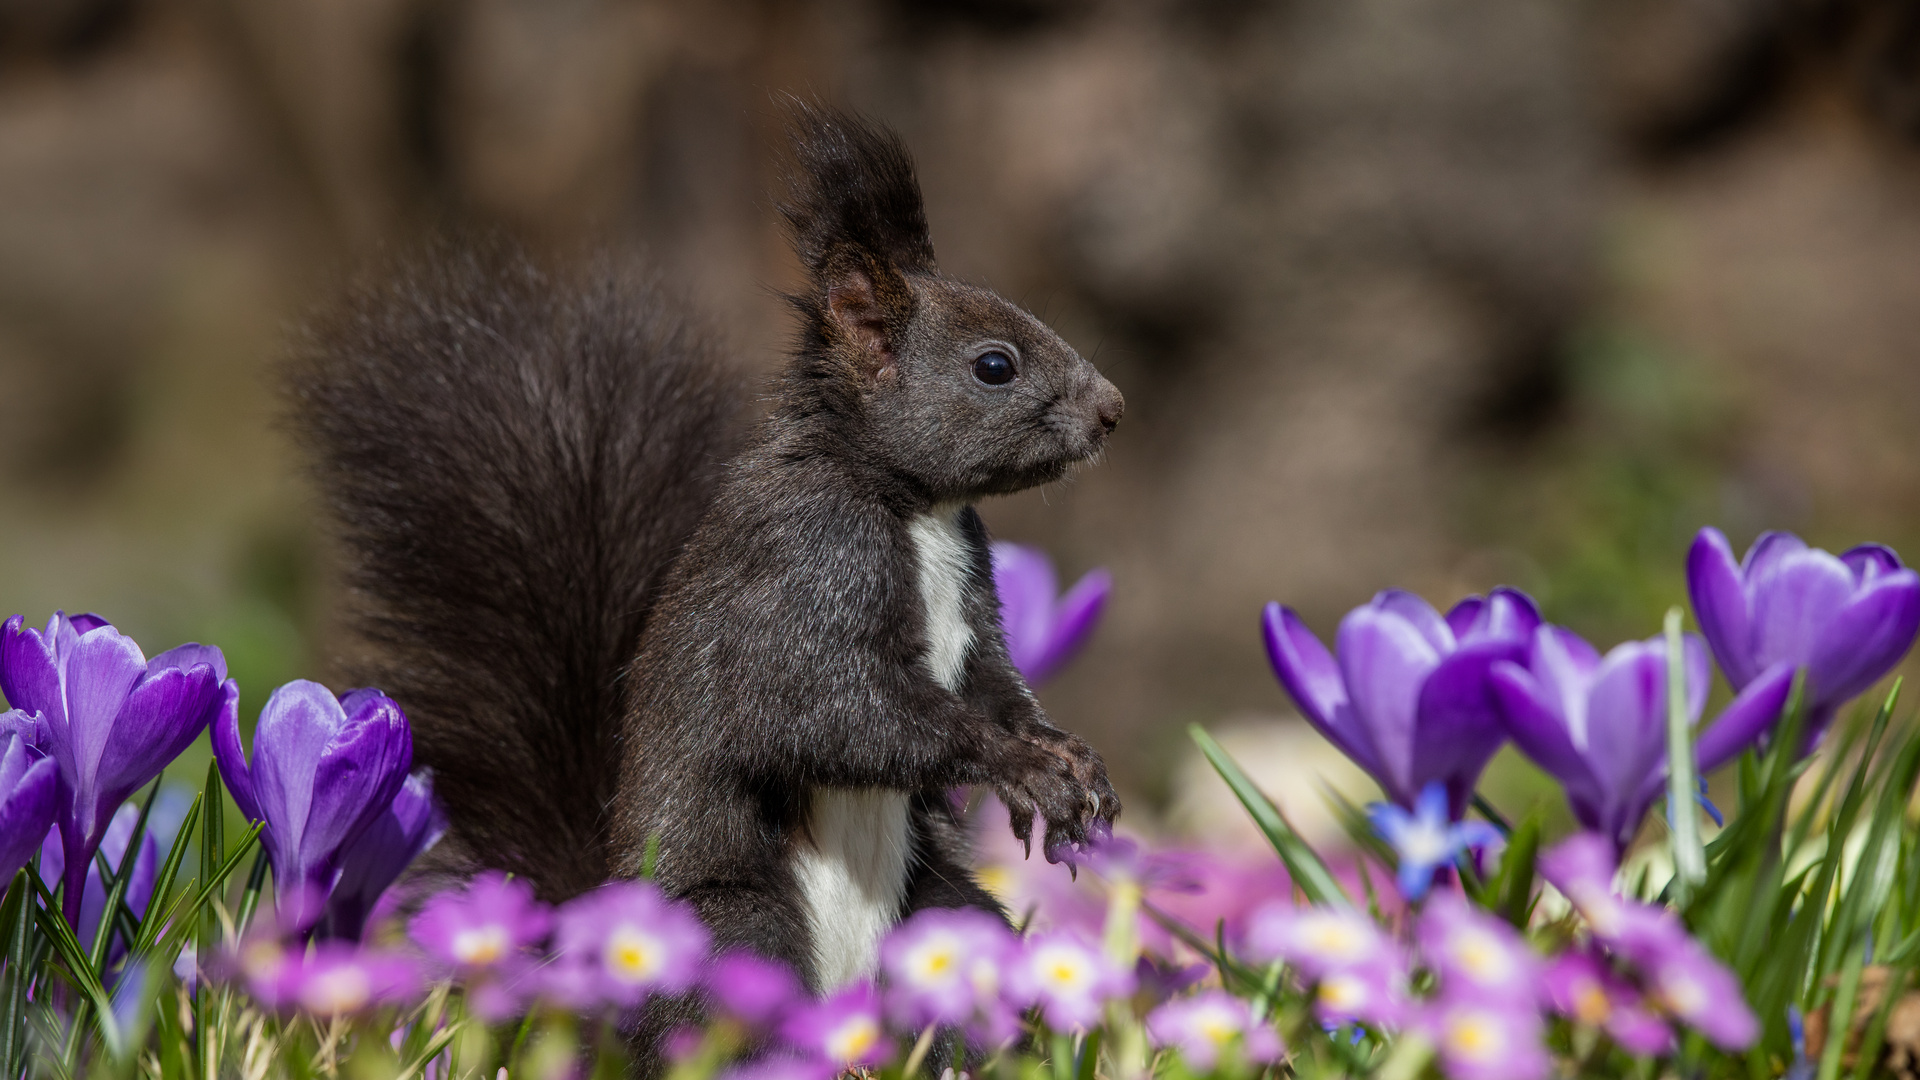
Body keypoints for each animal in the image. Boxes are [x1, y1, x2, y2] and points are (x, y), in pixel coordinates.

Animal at [286, 105, 1121, 999]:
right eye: (994, 365)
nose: (1113, 409)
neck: (914, 508)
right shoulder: (805, 567)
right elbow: (829, 709)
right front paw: (1018, 763)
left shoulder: (970, 596)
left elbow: (993, 681)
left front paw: (1067, 754)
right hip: (732, 925)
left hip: (946, 916)